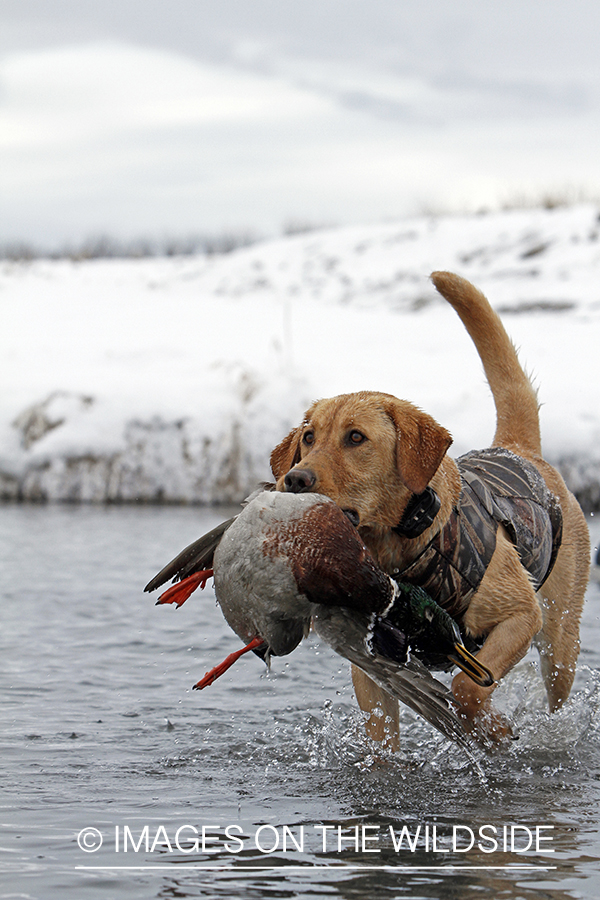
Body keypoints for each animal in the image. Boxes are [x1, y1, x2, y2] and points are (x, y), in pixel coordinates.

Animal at [270, 272, 588, 744]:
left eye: (356, 437)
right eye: (308, 437)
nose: (294, 480)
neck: (404, 546)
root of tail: (516, 448)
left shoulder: (520, 615)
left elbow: (467, 688)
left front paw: (491, 725)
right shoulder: (372, 667)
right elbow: (382, 736)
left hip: (560, 639)